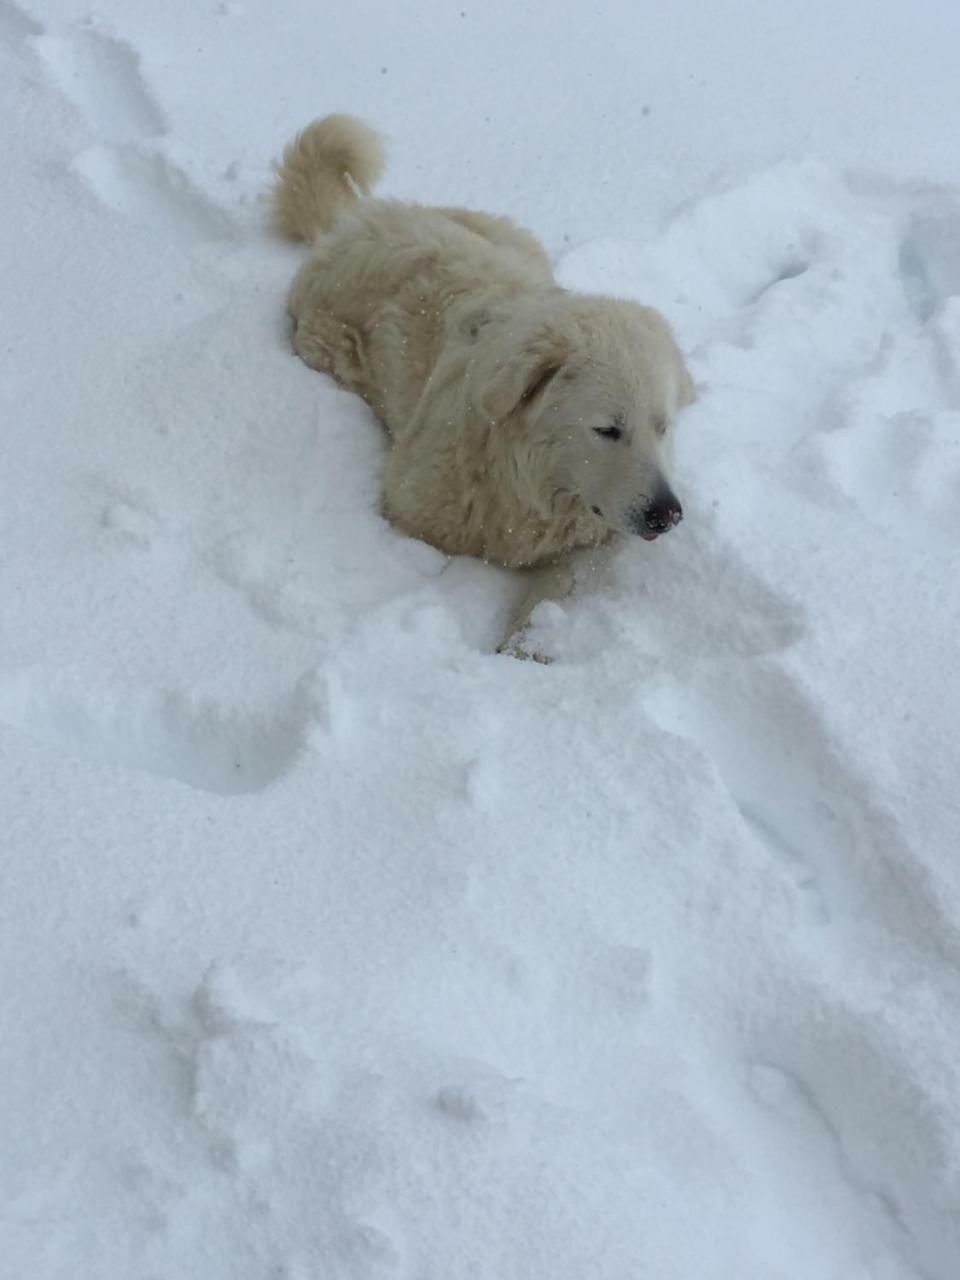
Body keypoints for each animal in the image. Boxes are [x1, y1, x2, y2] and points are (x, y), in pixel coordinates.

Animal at [273, 113, 696, 655]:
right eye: (607, 430)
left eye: (663, 427)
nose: (668, 514)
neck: (522, 482)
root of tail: (353, 222)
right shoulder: (410, 514)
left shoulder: (594, 536)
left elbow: (563, 581)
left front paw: (528, 641)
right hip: (330, 349)